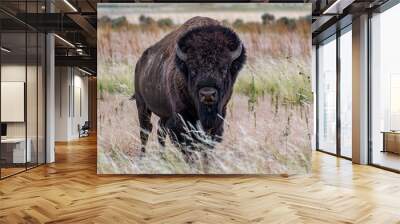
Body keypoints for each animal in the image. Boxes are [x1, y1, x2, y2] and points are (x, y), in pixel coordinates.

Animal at [134, 16, 245, 154]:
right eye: (193, 70)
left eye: (224, 69)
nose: (207, 94)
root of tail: (140, 63)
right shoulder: (181, 118)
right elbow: (187, 143)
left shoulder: (219, 115)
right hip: (142, 105)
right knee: (145, 131)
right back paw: (143, 156)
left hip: (163, 114)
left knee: (160, 130)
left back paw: (162, 155)